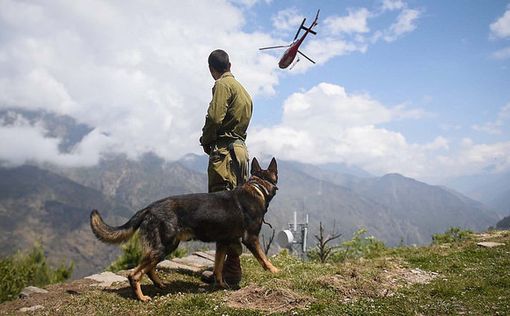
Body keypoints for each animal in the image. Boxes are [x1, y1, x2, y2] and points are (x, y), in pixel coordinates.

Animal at [88, 157, 278, 302]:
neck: (258, 187)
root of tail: (149, 208)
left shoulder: (223, 243)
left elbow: (218, 268)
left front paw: (222, 285)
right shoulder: (251, 238)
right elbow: (263, 258)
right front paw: (274, 271)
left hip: (167, 246)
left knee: (148, 268)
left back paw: (159, 284)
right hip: (164, 246)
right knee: (134, 274)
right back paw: (141, 297)